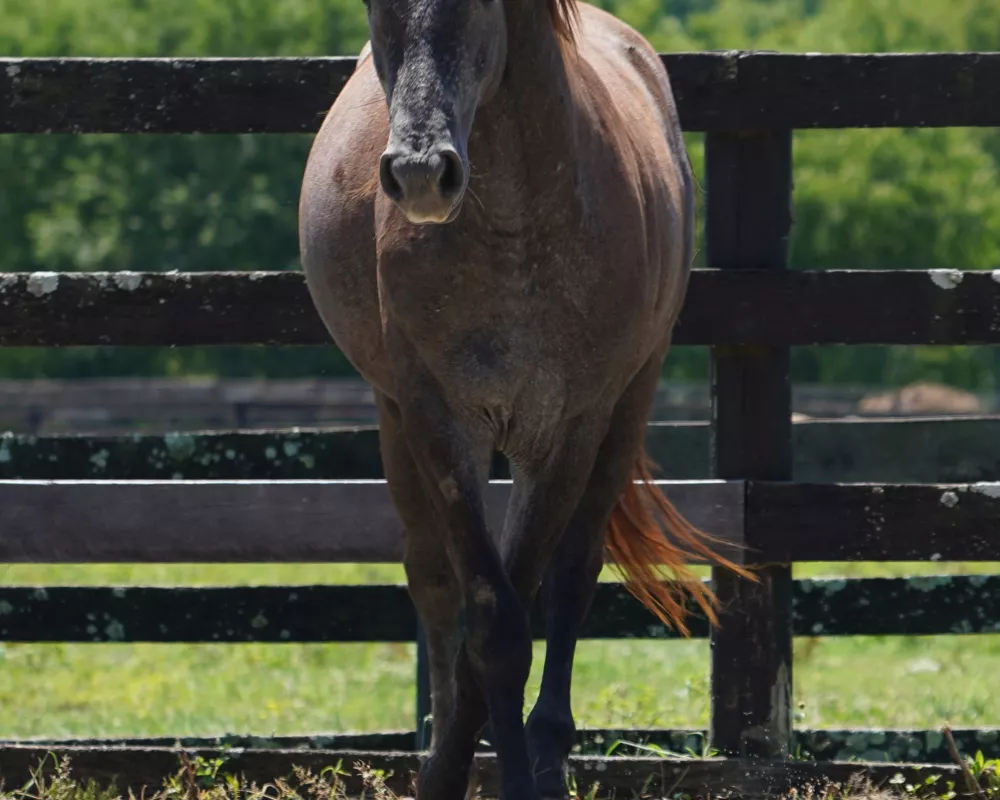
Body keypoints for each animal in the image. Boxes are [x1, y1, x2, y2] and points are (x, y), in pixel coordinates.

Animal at [296, 0, 752, 796]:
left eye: (479, 7)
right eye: (377, 8)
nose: (420, 173)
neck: (515, 228)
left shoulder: (567, 429)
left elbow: (530, 598)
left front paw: (519, 768)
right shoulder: (438, 421)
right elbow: (489, 618)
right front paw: (445, 770)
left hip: (627, 408)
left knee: (572, 575)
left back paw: (547, 750)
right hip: (395, 423)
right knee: (433, 578)